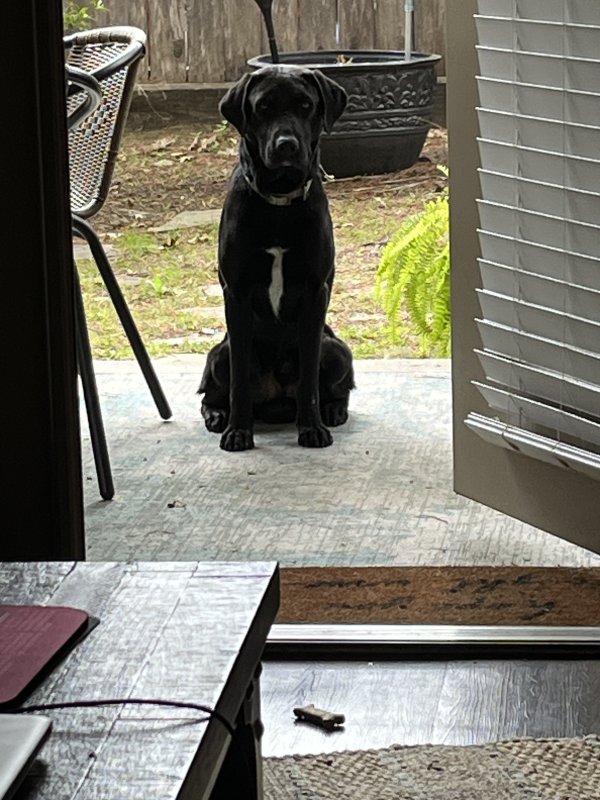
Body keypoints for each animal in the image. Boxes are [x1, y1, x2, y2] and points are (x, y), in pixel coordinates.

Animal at [199, 64, 354, 450]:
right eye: (263, 107)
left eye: (305, 105)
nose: (287, 145)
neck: (279, 203)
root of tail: (275, 398)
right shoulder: (236, 294)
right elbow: (239, 381)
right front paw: (238, 431)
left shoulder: (316, 292)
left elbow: (309, 380)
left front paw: (312, 428)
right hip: (218, 355)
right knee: (210, 392)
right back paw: (217, 416)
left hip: (338, 350)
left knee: (333, 387)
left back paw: (333, 411)